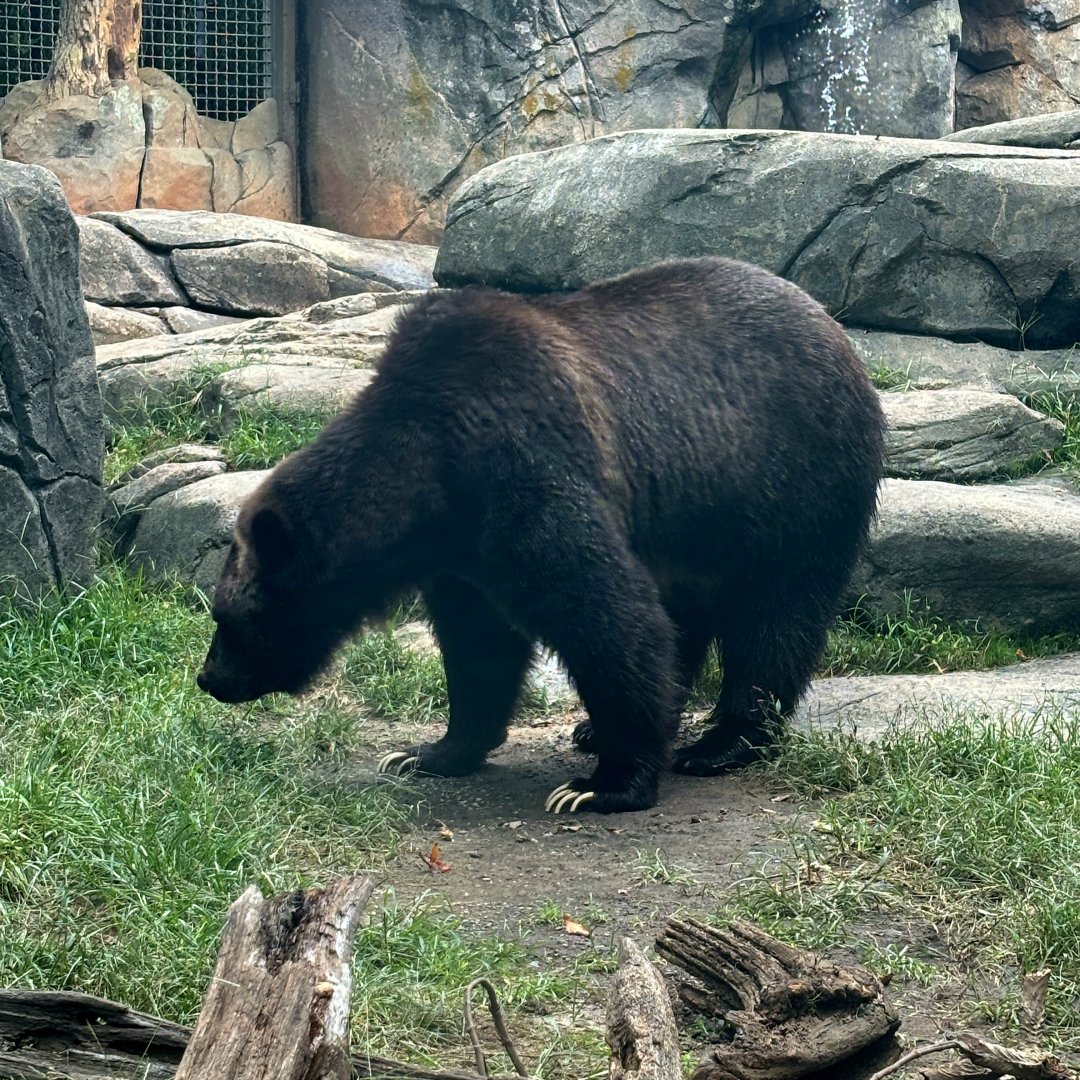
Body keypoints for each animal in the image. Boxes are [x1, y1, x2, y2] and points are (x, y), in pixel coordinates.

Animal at [197, 256, 885, 814]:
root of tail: (836, 331)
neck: (430, 476)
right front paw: (430, 751)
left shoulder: (526, 467)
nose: (210, 680)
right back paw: (602, 727)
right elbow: (478, 645)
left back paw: (721, 742)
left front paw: (601, 784)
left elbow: (604, 615)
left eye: (230, 619)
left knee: (775, 615)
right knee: (689, 614)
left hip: (795, 482)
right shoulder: (462, 554)